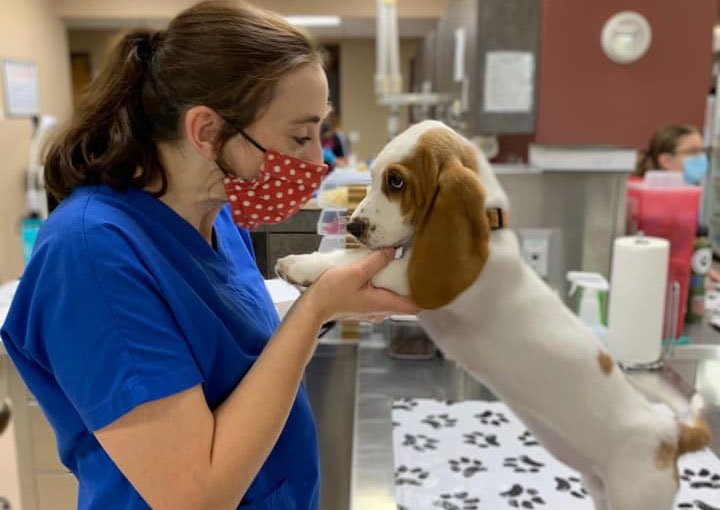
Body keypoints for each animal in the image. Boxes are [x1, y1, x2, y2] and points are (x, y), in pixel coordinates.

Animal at [276, 120, 708, 510]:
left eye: (395, 182)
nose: (353, 225)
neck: (490, 228)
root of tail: (671, 433)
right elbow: (357, 259)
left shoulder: (412, 279)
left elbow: (353, 262)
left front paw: (302, 265)